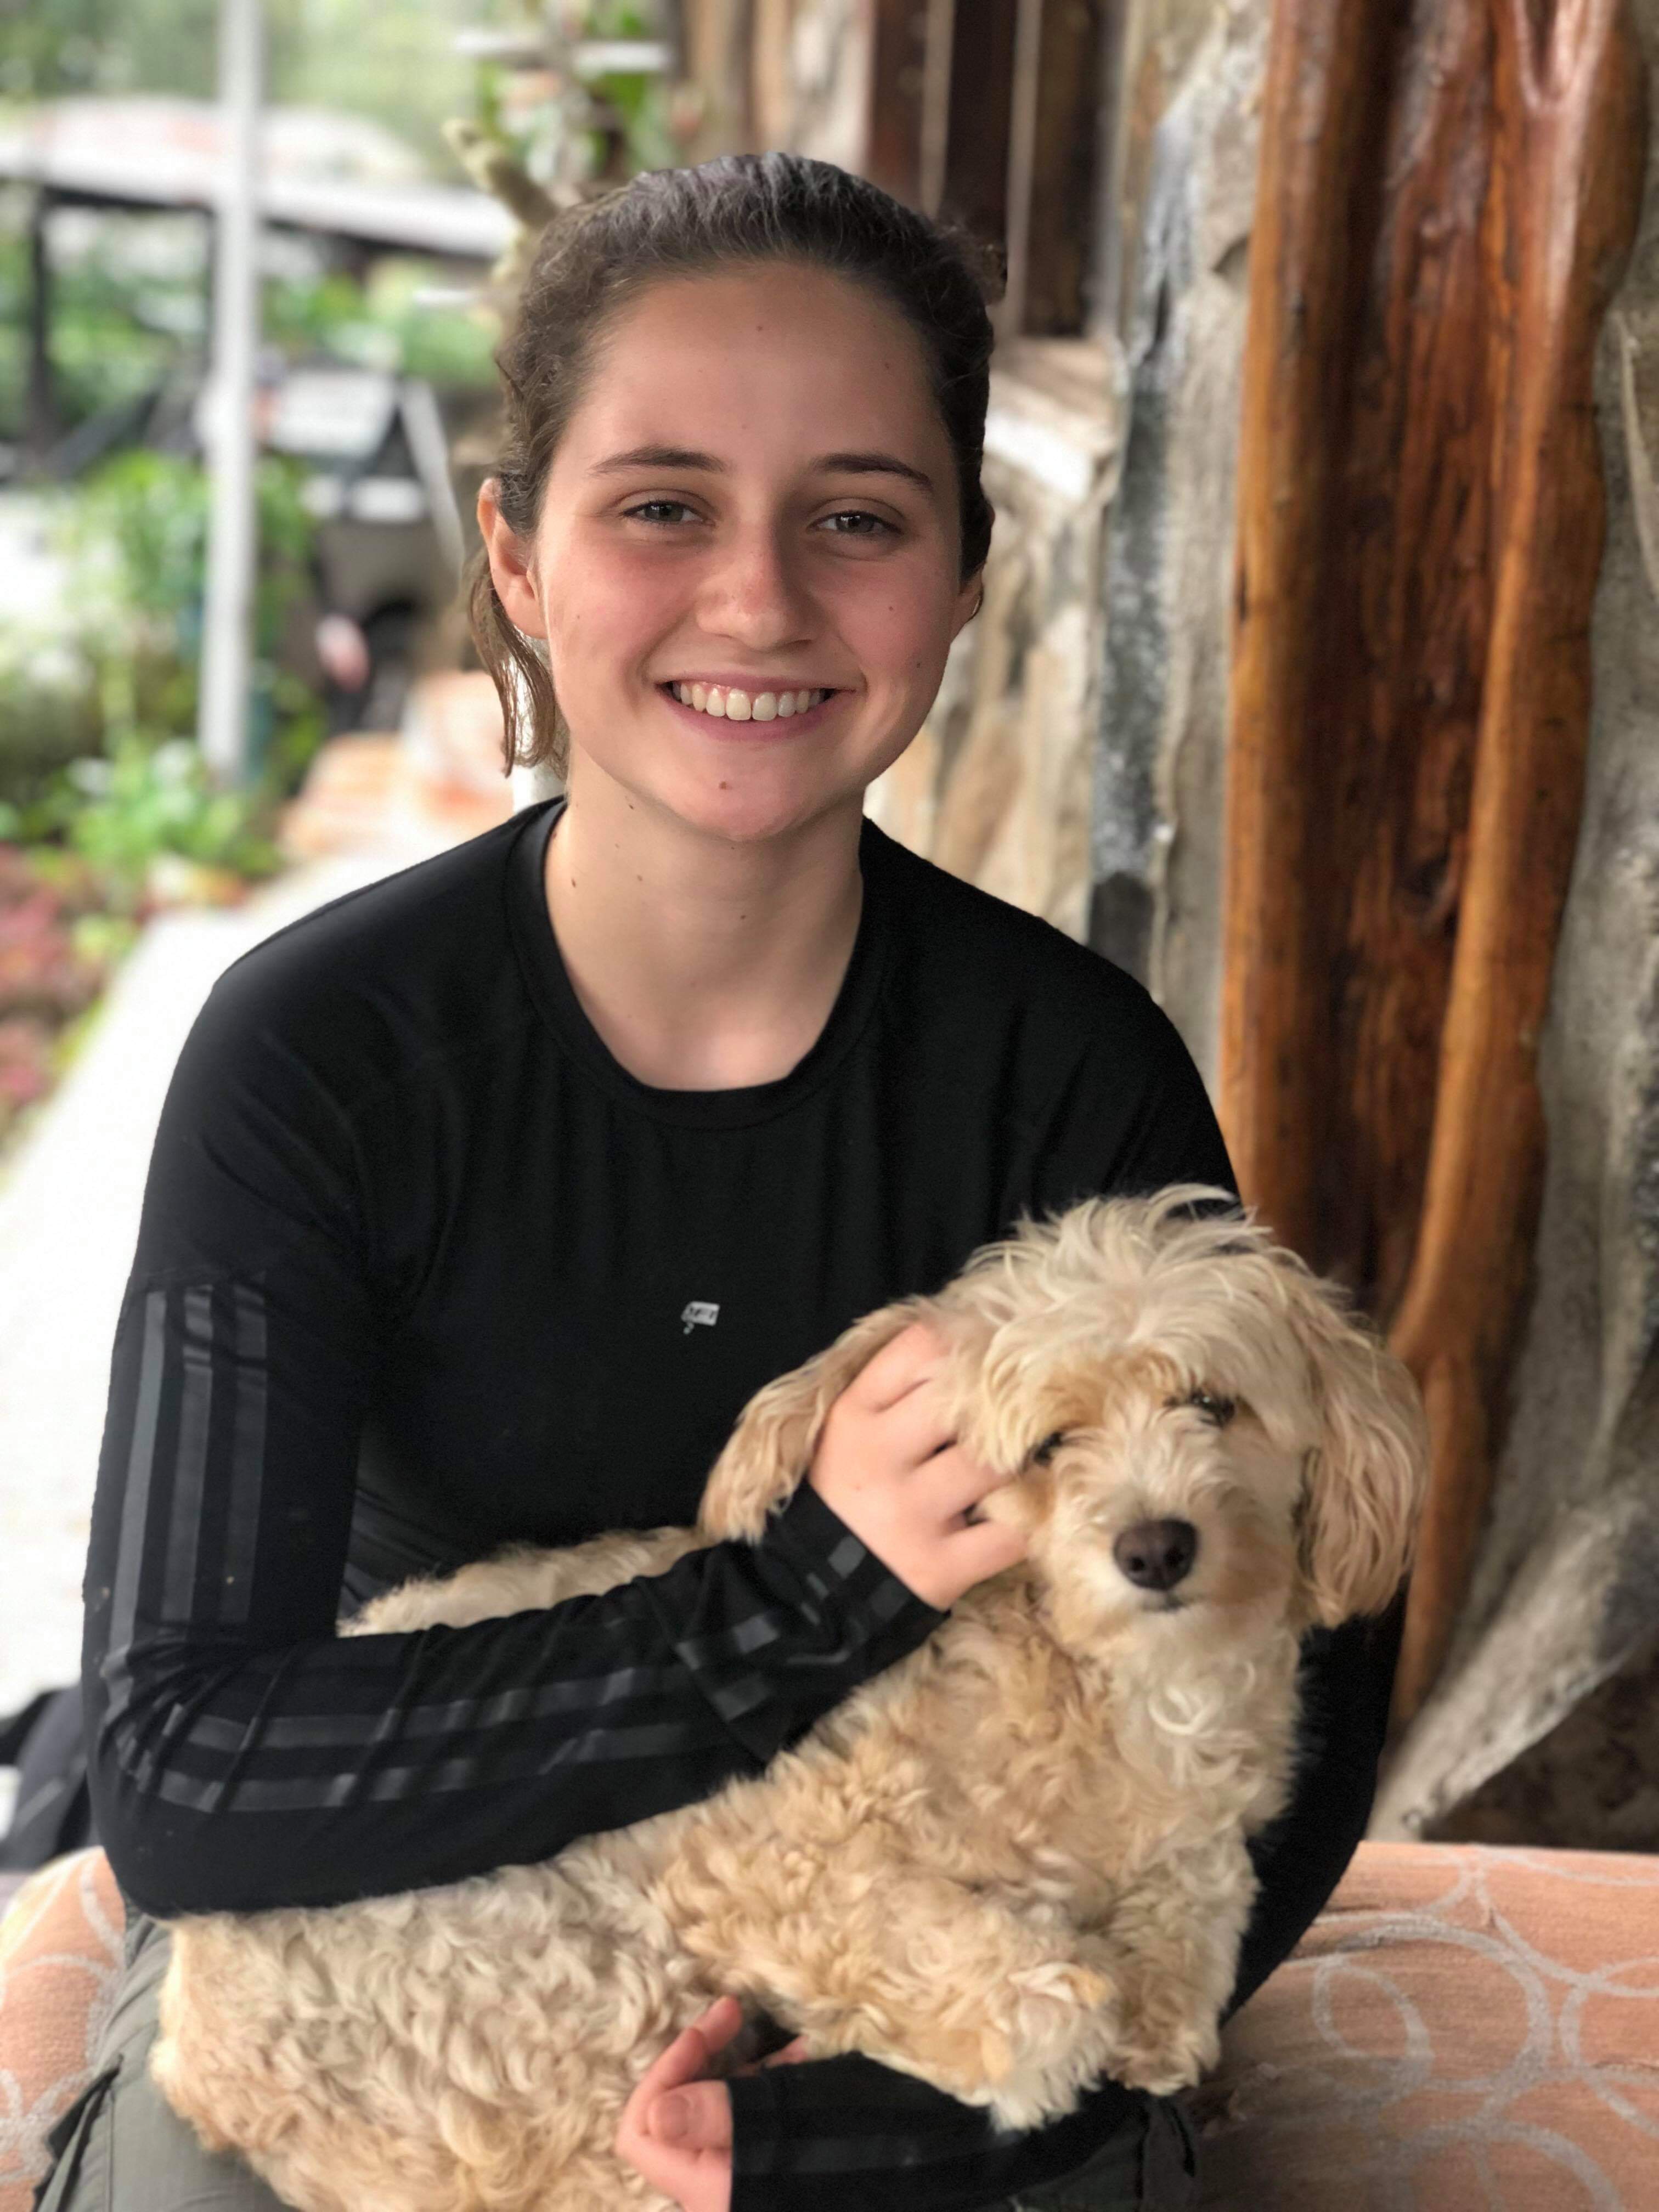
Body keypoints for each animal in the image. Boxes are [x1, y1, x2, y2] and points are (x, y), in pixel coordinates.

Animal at [150, 1186, 1427, 2212]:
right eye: (1046, 1445)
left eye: (1212, 1405)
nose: (1156, 1548)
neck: (1102, 1686)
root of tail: (189, 2052)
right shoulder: (766, 1856)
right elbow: (997, 1974)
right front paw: (1052, 2013)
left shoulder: (1197, 1823)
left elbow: (1204, 1895)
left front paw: (1162, 2008)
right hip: (562, 1997)